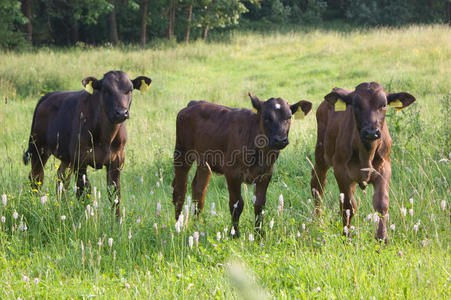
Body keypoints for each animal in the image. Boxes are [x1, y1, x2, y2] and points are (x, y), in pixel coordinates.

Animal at [23, 70, 152, 216]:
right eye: (106, 90)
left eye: (130, 90)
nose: (121, 112)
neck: (106, 137)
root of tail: (48, 96)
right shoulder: (81, 160)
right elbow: (84, 193)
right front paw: (87, 217)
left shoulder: (117, 160)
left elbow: (115, 194)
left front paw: (117, 220)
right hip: (38, 149)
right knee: (37, 178)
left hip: (66, 158)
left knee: (61, 180)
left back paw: (61, 207)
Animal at [171, 92, 312, 236]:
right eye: (266, 118)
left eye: (289, 117)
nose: (280, 140)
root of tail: (193, 104)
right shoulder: (232, 173)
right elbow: (237, 204)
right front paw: (235, 234)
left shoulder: (266, 174)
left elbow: (260, 205)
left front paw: (259, 234)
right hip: (182, 152)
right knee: (180, 190)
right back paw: (179, 227)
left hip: (204, 162)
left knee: (199, 189)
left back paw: (197, 225)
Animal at [310, 82, 416, 244]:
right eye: (355, 105)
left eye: (383, 104)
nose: (371, 132)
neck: (366, 152)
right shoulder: (341, 171)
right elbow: (348, 205)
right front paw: (346, 236)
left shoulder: (384, 168)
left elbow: (381, 203)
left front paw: (382, 238)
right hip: (321, 155)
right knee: (318, 185)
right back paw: (317, 221)